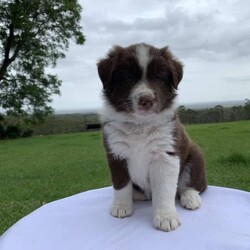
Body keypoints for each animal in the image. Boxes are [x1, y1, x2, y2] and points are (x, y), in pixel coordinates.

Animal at [97, 43, 207, 232]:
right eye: (128, 78)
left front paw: (166, 217)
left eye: (158, 78)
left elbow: (163, 190)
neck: (140, 124)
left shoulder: (165, 155)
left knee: (192, 185)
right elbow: (120, 184)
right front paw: (121, 207)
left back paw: (191, 197)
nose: (146, 100)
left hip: (195, 155)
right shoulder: (116, 153)